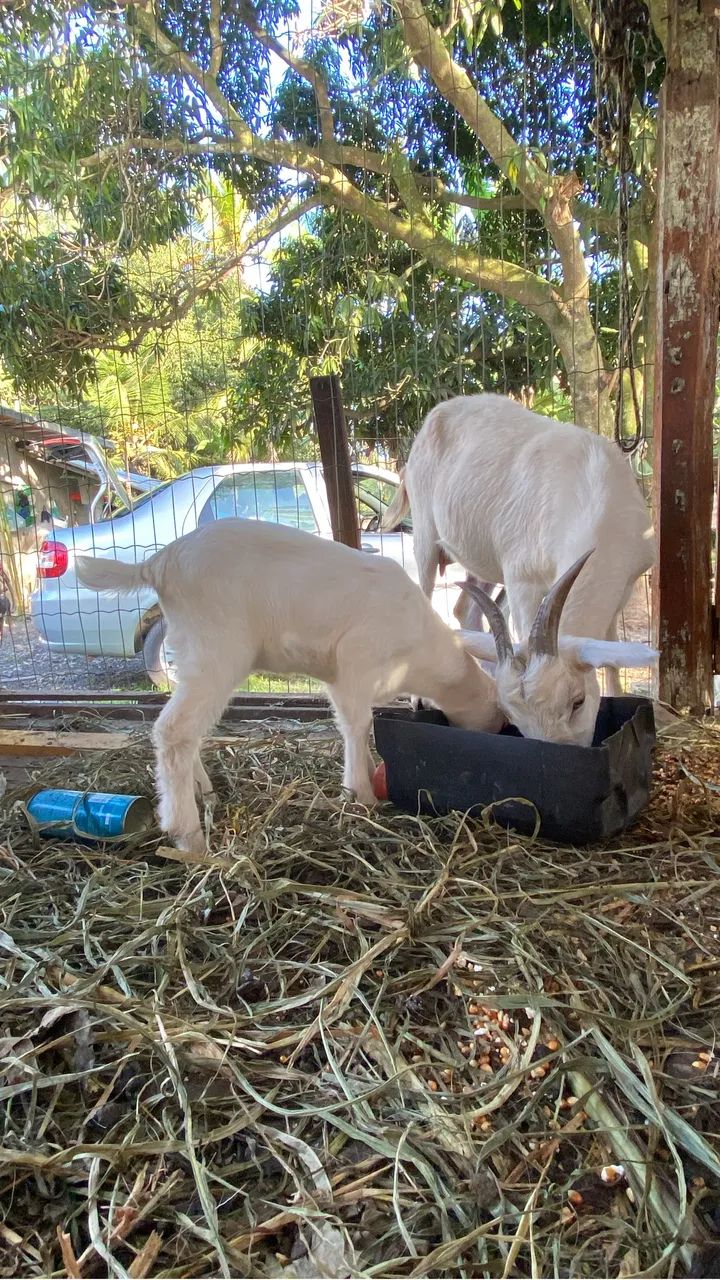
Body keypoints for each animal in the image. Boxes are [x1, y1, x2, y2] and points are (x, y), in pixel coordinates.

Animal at [75, 519, 504, 854]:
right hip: (218, 649)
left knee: (187, 729)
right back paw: (190, 837)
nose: (501, 731)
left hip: (188, 651)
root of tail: (159, 562)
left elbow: (356, 726)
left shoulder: (338, 676)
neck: (422, 646)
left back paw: (205, 794)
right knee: (174, 729)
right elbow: (357, 725)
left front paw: (364, 779)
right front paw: (362, 796)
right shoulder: (354, 663)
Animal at [383, 393, 657, 744]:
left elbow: (610, 650)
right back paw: (420, 698)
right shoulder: (522, 577)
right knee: (426, 588)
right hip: (424, 535)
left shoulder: (625, 585)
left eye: (578, 701)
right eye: (514, 718)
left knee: (464, 610)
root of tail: (438, 412)